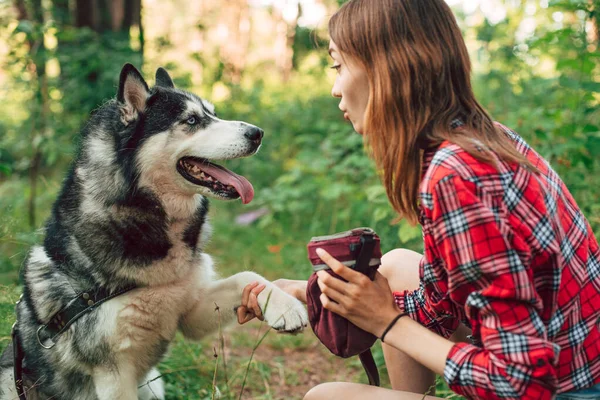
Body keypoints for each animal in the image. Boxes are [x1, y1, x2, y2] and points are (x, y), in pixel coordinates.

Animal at [0, 64, 308, 398]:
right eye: (191, 120)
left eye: (212, 114)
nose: (257, 133)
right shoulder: (113, 371)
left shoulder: (191, 310)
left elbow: (247, 277)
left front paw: (286, 306)